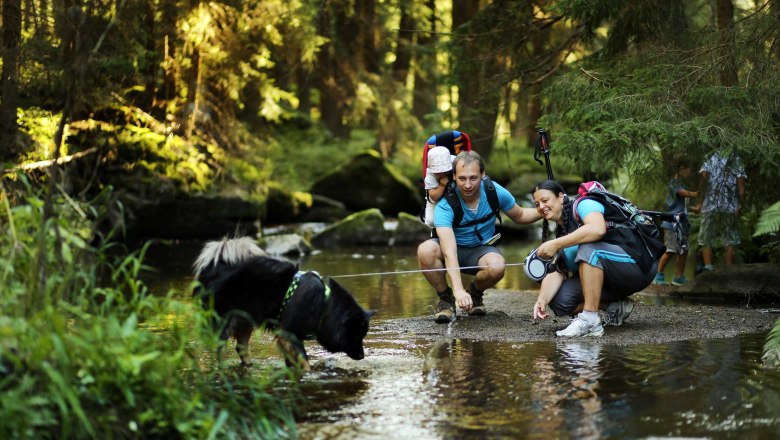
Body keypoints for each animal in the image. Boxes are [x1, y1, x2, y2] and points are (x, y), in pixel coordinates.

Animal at [195, 237, 378, 368]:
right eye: (357, 334)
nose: (362, 356)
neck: (324, 305)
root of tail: (215, 266)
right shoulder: (289, 333)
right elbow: (304, 359)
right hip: (225, 320)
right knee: (220, 348)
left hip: (246, 318)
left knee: (241, 346)